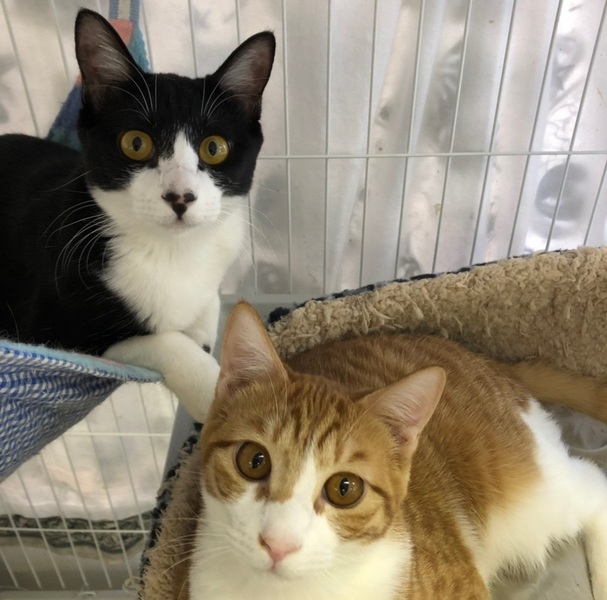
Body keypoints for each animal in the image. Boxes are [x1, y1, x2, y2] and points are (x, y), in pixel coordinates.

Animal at [0, 10, 275, 420]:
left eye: (214, 148)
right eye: (135, 142)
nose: (180, 197)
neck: (171, 252)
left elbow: (207, 308)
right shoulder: (57, 325)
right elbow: (162, 340)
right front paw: (215, 388)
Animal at [186, 301, 607, 600]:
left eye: (345, 488)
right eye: (253, 461)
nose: (279, 544)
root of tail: (494, 364)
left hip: (527, 498)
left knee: (593, 486)